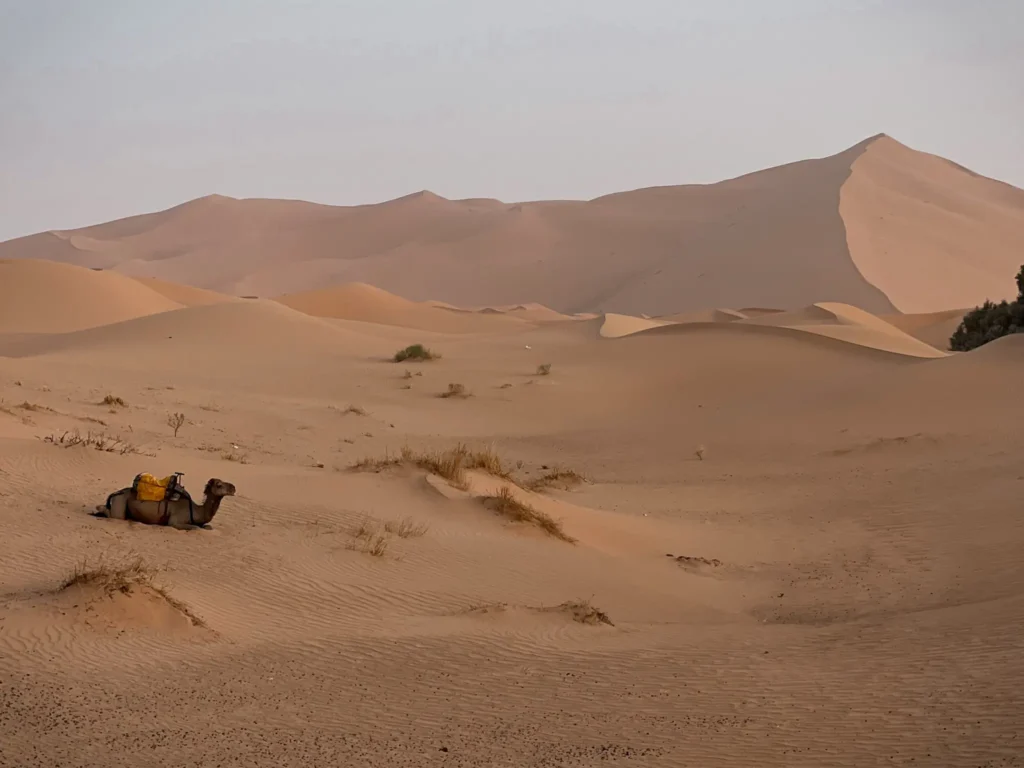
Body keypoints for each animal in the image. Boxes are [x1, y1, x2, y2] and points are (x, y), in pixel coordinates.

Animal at [93, 478, 236, 530]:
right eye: (219, 485)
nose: (233, 487)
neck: (195, 510)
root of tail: (116, 492)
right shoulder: (175, 521)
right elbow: (194, 528)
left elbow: (207, 527)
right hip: (120, 504)